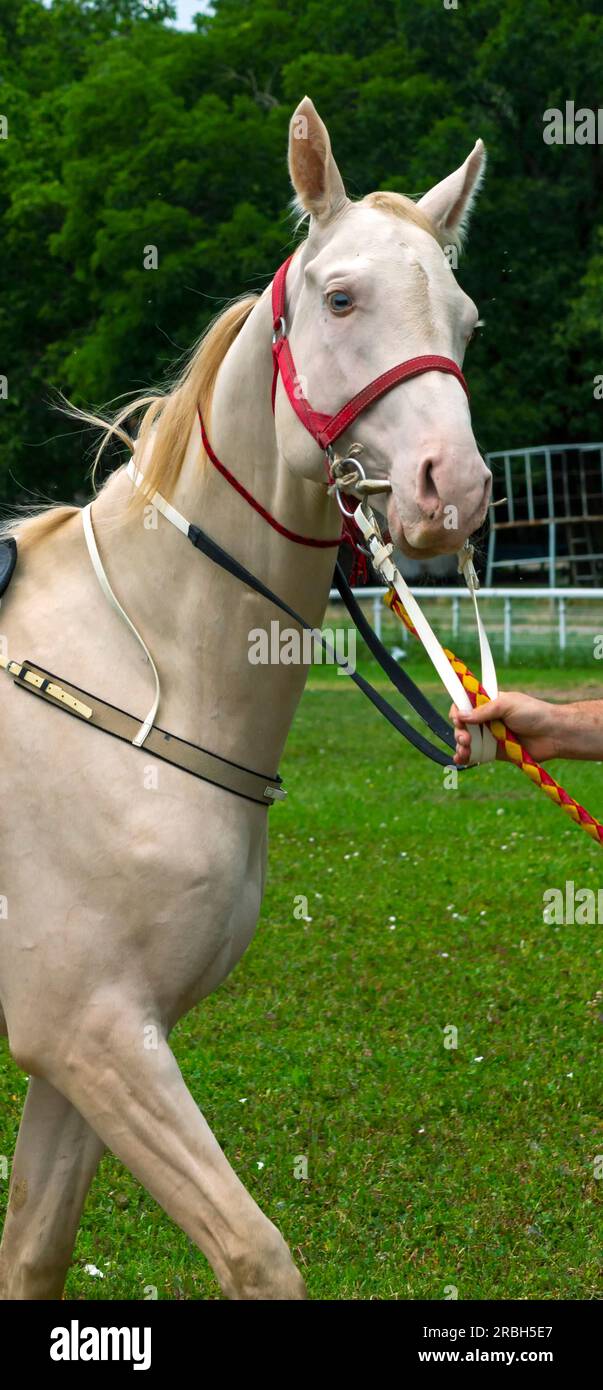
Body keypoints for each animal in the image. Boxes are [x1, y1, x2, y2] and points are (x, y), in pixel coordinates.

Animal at [0, 97, 491, 1300]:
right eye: (341, 296)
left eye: (464, 321)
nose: (452, 492)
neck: (140, 688)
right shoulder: (91, 1030)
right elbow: (259, 1255)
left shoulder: (93, 1043)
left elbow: (35, 1251)